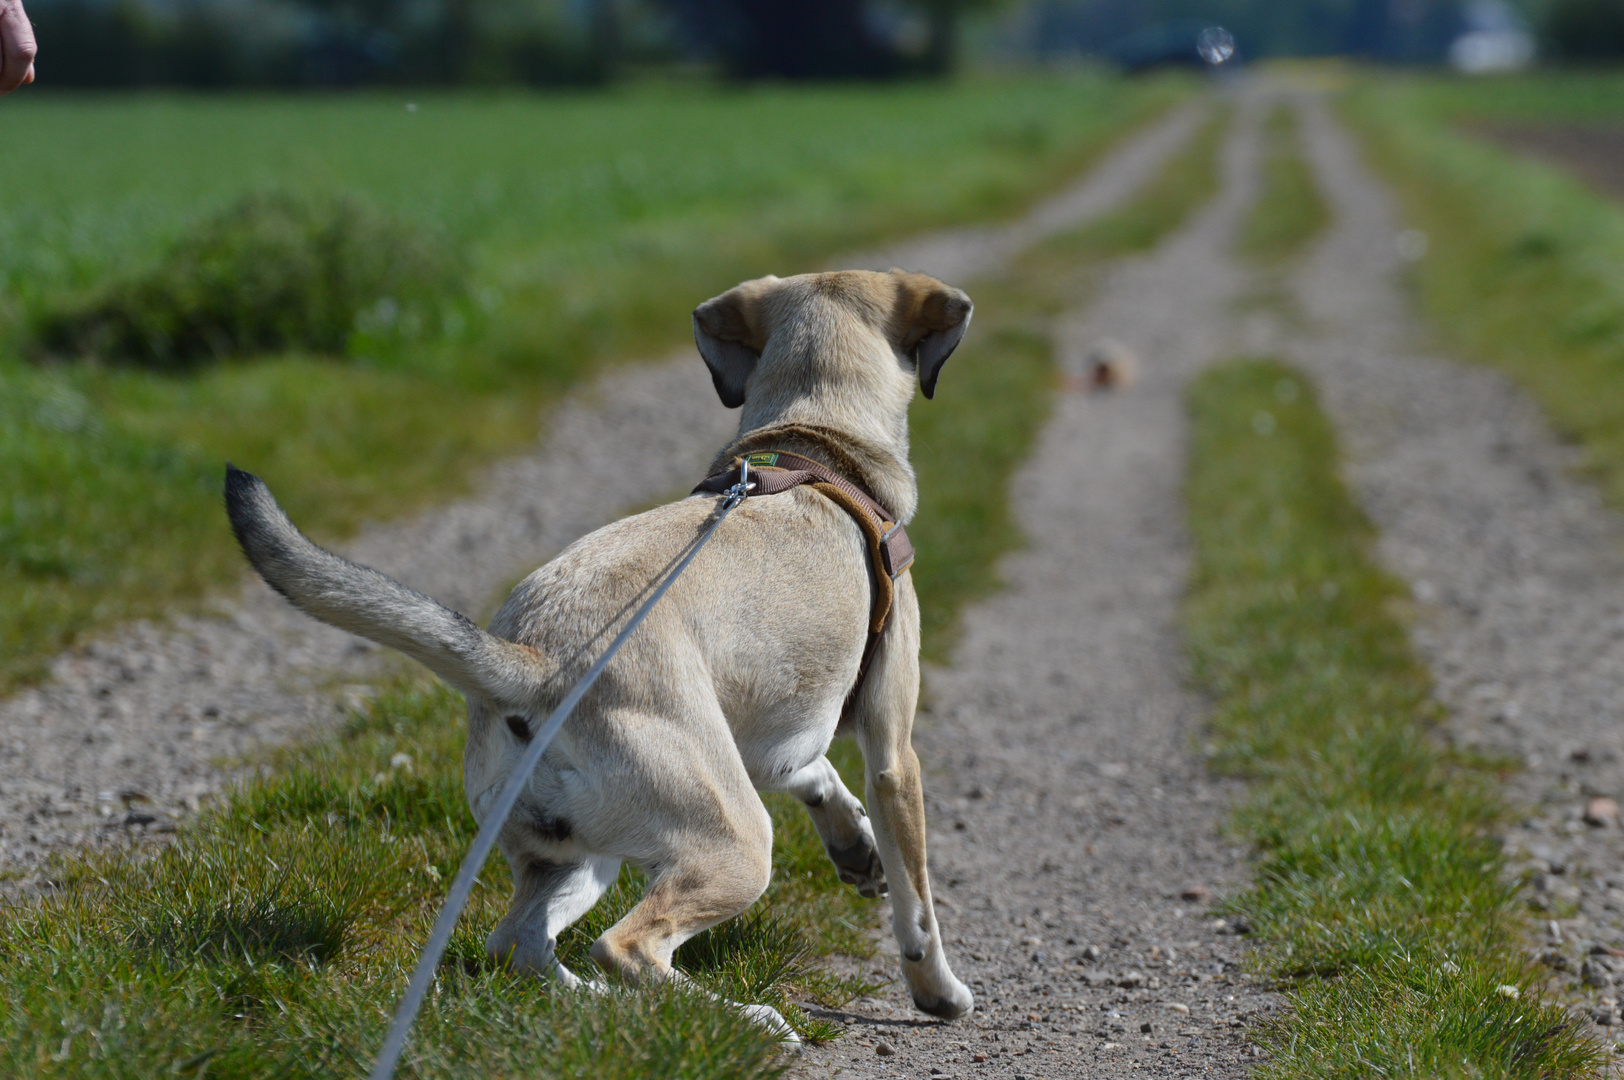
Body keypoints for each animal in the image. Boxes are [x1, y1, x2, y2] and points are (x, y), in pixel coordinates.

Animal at [228, 264, 974, 1032]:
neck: (813, 441)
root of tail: (532, 666)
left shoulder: (770, 742)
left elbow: (816, 773)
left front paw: (854, 845)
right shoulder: (893, 752)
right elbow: (917, 904)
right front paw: (938, 991)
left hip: (576, 855)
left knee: (519, 942)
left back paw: (597, 1007)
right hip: (733, 840)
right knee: (626, 947)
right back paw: (741, 1018)